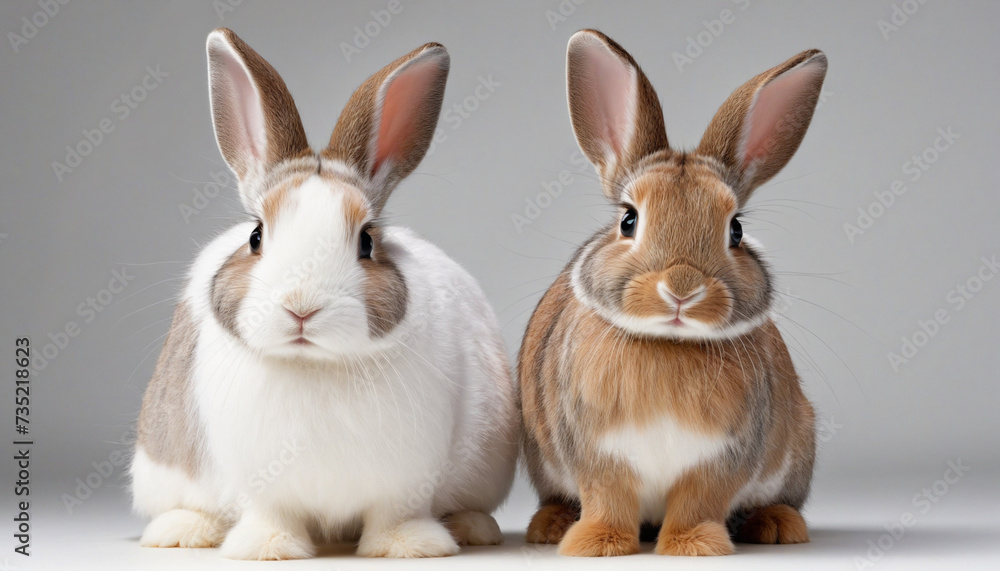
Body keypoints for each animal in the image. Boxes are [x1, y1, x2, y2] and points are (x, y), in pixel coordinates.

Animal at [128, 28, 518, 560]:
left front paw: (409, 546)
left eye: (366, 242)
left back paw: (474, 527)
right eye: (255, 236)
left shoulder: (407, 478)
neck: (313, 364)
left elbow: (396, 514)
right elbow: (271, 513)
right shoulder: (259, 481)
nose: (302, 308)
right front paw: (268, 547)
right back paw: (181, 532)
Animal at [518, 29, 827, 557]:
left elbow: (697, 502)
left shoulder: (719, 460)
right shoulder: (598, 456)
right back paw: (551, 525)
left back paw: (778, 526)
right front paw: (597, 544)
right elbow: (608, 499)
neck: (669, 344)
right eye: (629, 220)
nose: (682, 289)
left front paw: (694, 545)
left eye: (735, 230)